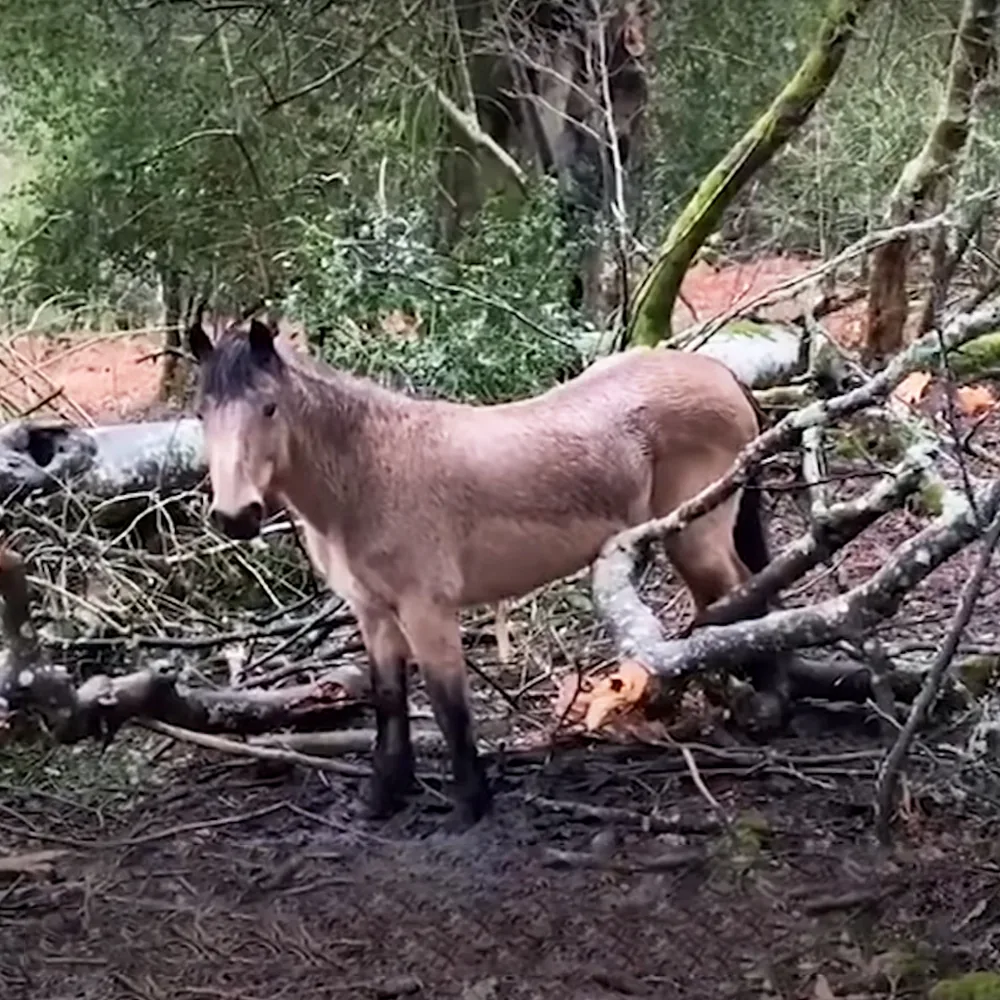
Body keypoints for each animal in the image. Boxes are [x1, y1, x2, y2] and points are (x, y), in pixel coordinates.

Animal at [187, 317, 782, 830]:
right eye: (201, 415)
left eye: (269, 408)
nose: (236, 516)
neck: (369, 470)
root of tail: (718, 371)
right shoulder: (373, 612)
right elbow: (388, 700)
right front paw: (382, 797)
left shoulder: (427, 610)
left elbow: (449, 706)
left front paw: (469, 806)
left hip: (696, 535)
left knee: (740, 594)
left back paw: (764, 705)